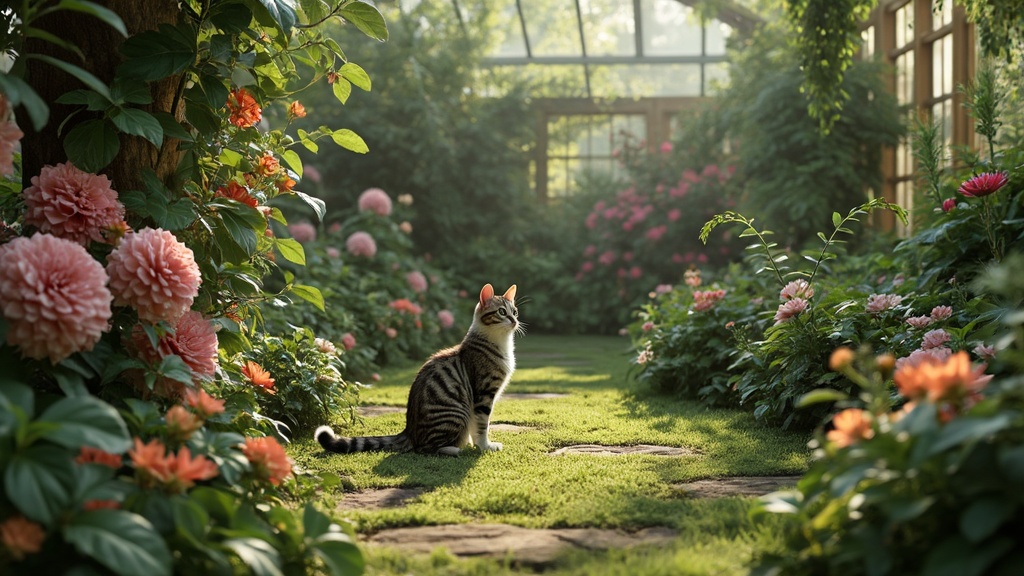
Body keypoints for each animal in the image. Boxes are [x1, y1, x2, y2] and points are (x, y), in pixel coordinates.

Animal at [313, 280, 520, 453]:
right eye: (502, 312)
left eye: (515, 311)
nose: (514, 320)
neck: (500, 343)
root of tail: (408, 431)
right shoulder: (483, 394)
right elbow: (482, 425)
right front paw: (484, 446)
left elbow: (473, 428)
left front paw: (472, 443)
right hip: (456, 412)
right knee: (425, 448)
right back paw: (452, 449)